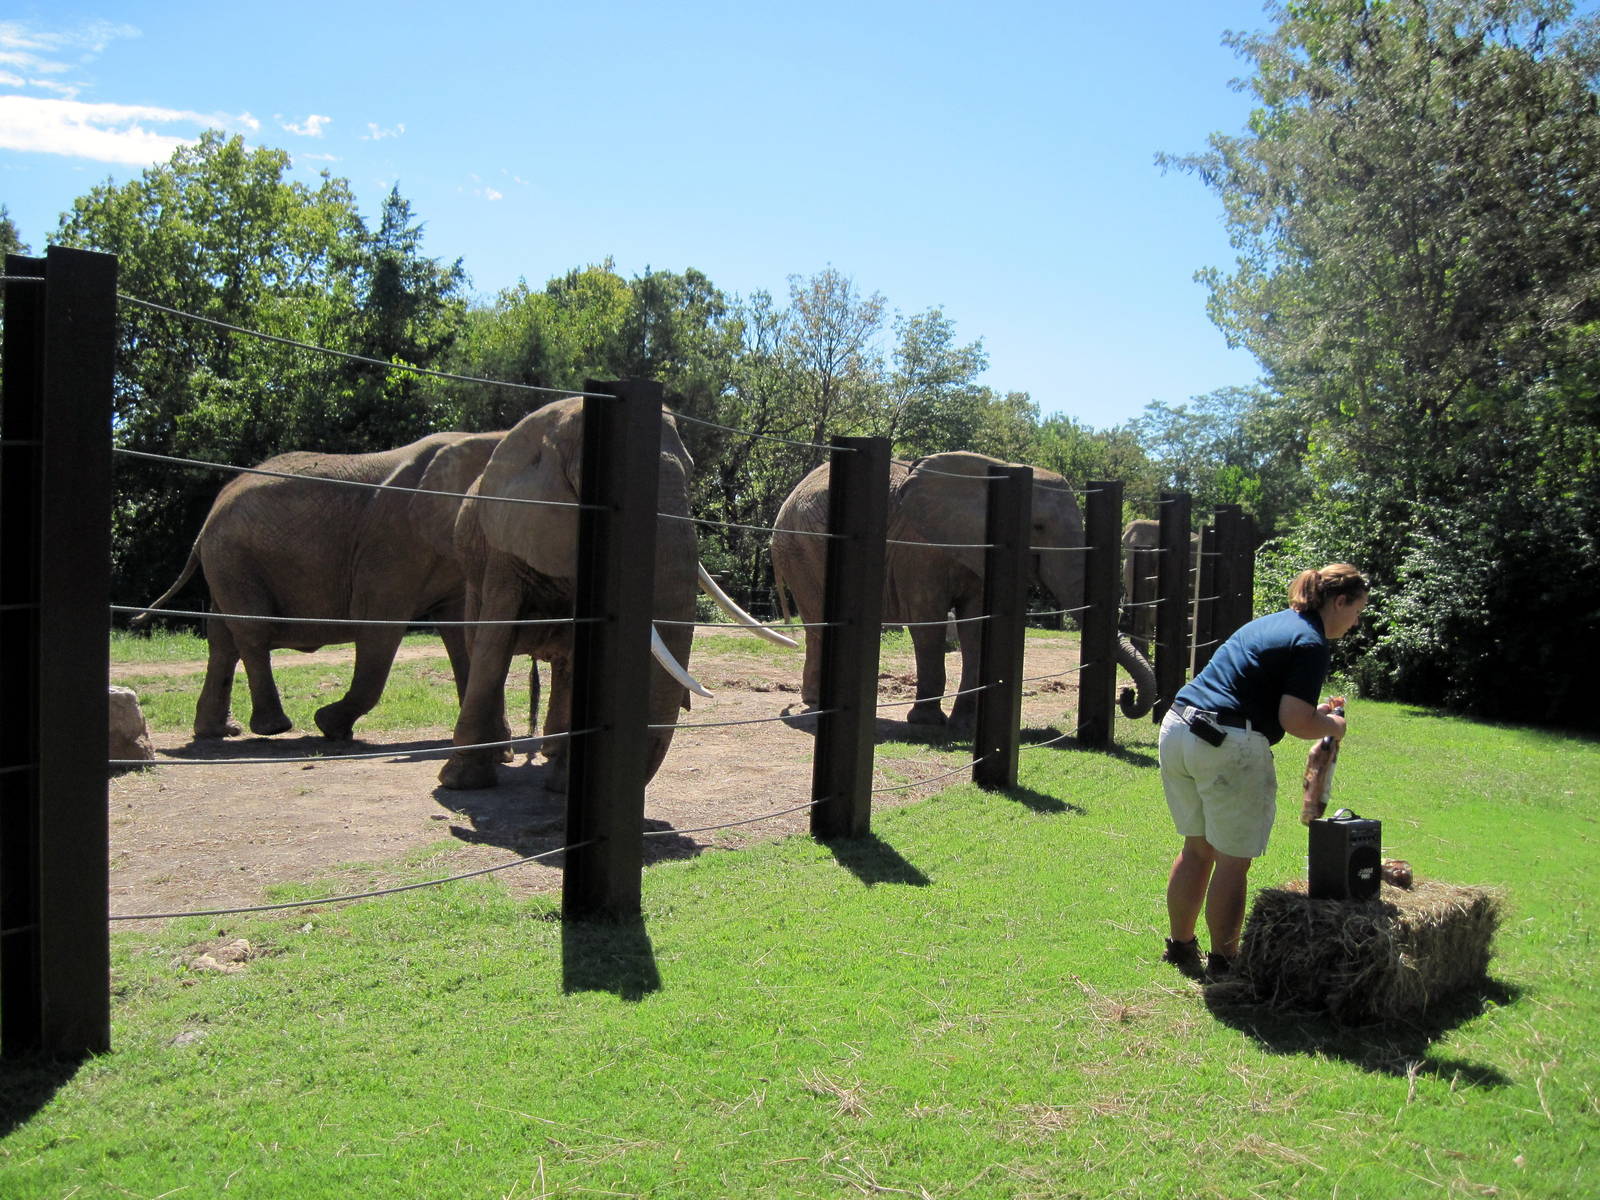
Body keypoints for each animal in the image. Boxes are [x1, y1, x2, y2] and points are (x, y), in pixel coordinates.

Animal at [135, 431, 506, 742]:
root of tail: (207, 521)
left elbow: (462, 627)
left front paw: (492, 741)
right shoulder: (392, 542)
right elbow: (378, 624)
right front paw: (329, 726)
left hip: (227, 563)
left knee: (222, 639)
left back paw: (219, 731)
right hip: (234, 558)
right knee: (251, 631)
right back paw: (273, 728)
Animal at [771, 451, 1157, 733]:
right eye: (1038, 527)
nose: (1127, 695)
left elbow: (975, 626)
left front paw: (965, 724)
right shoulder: (917, 547)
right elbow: (927, 620)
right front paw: (928, 723)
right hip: (801, 548)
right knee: (820, 622)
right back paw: (818, 704)